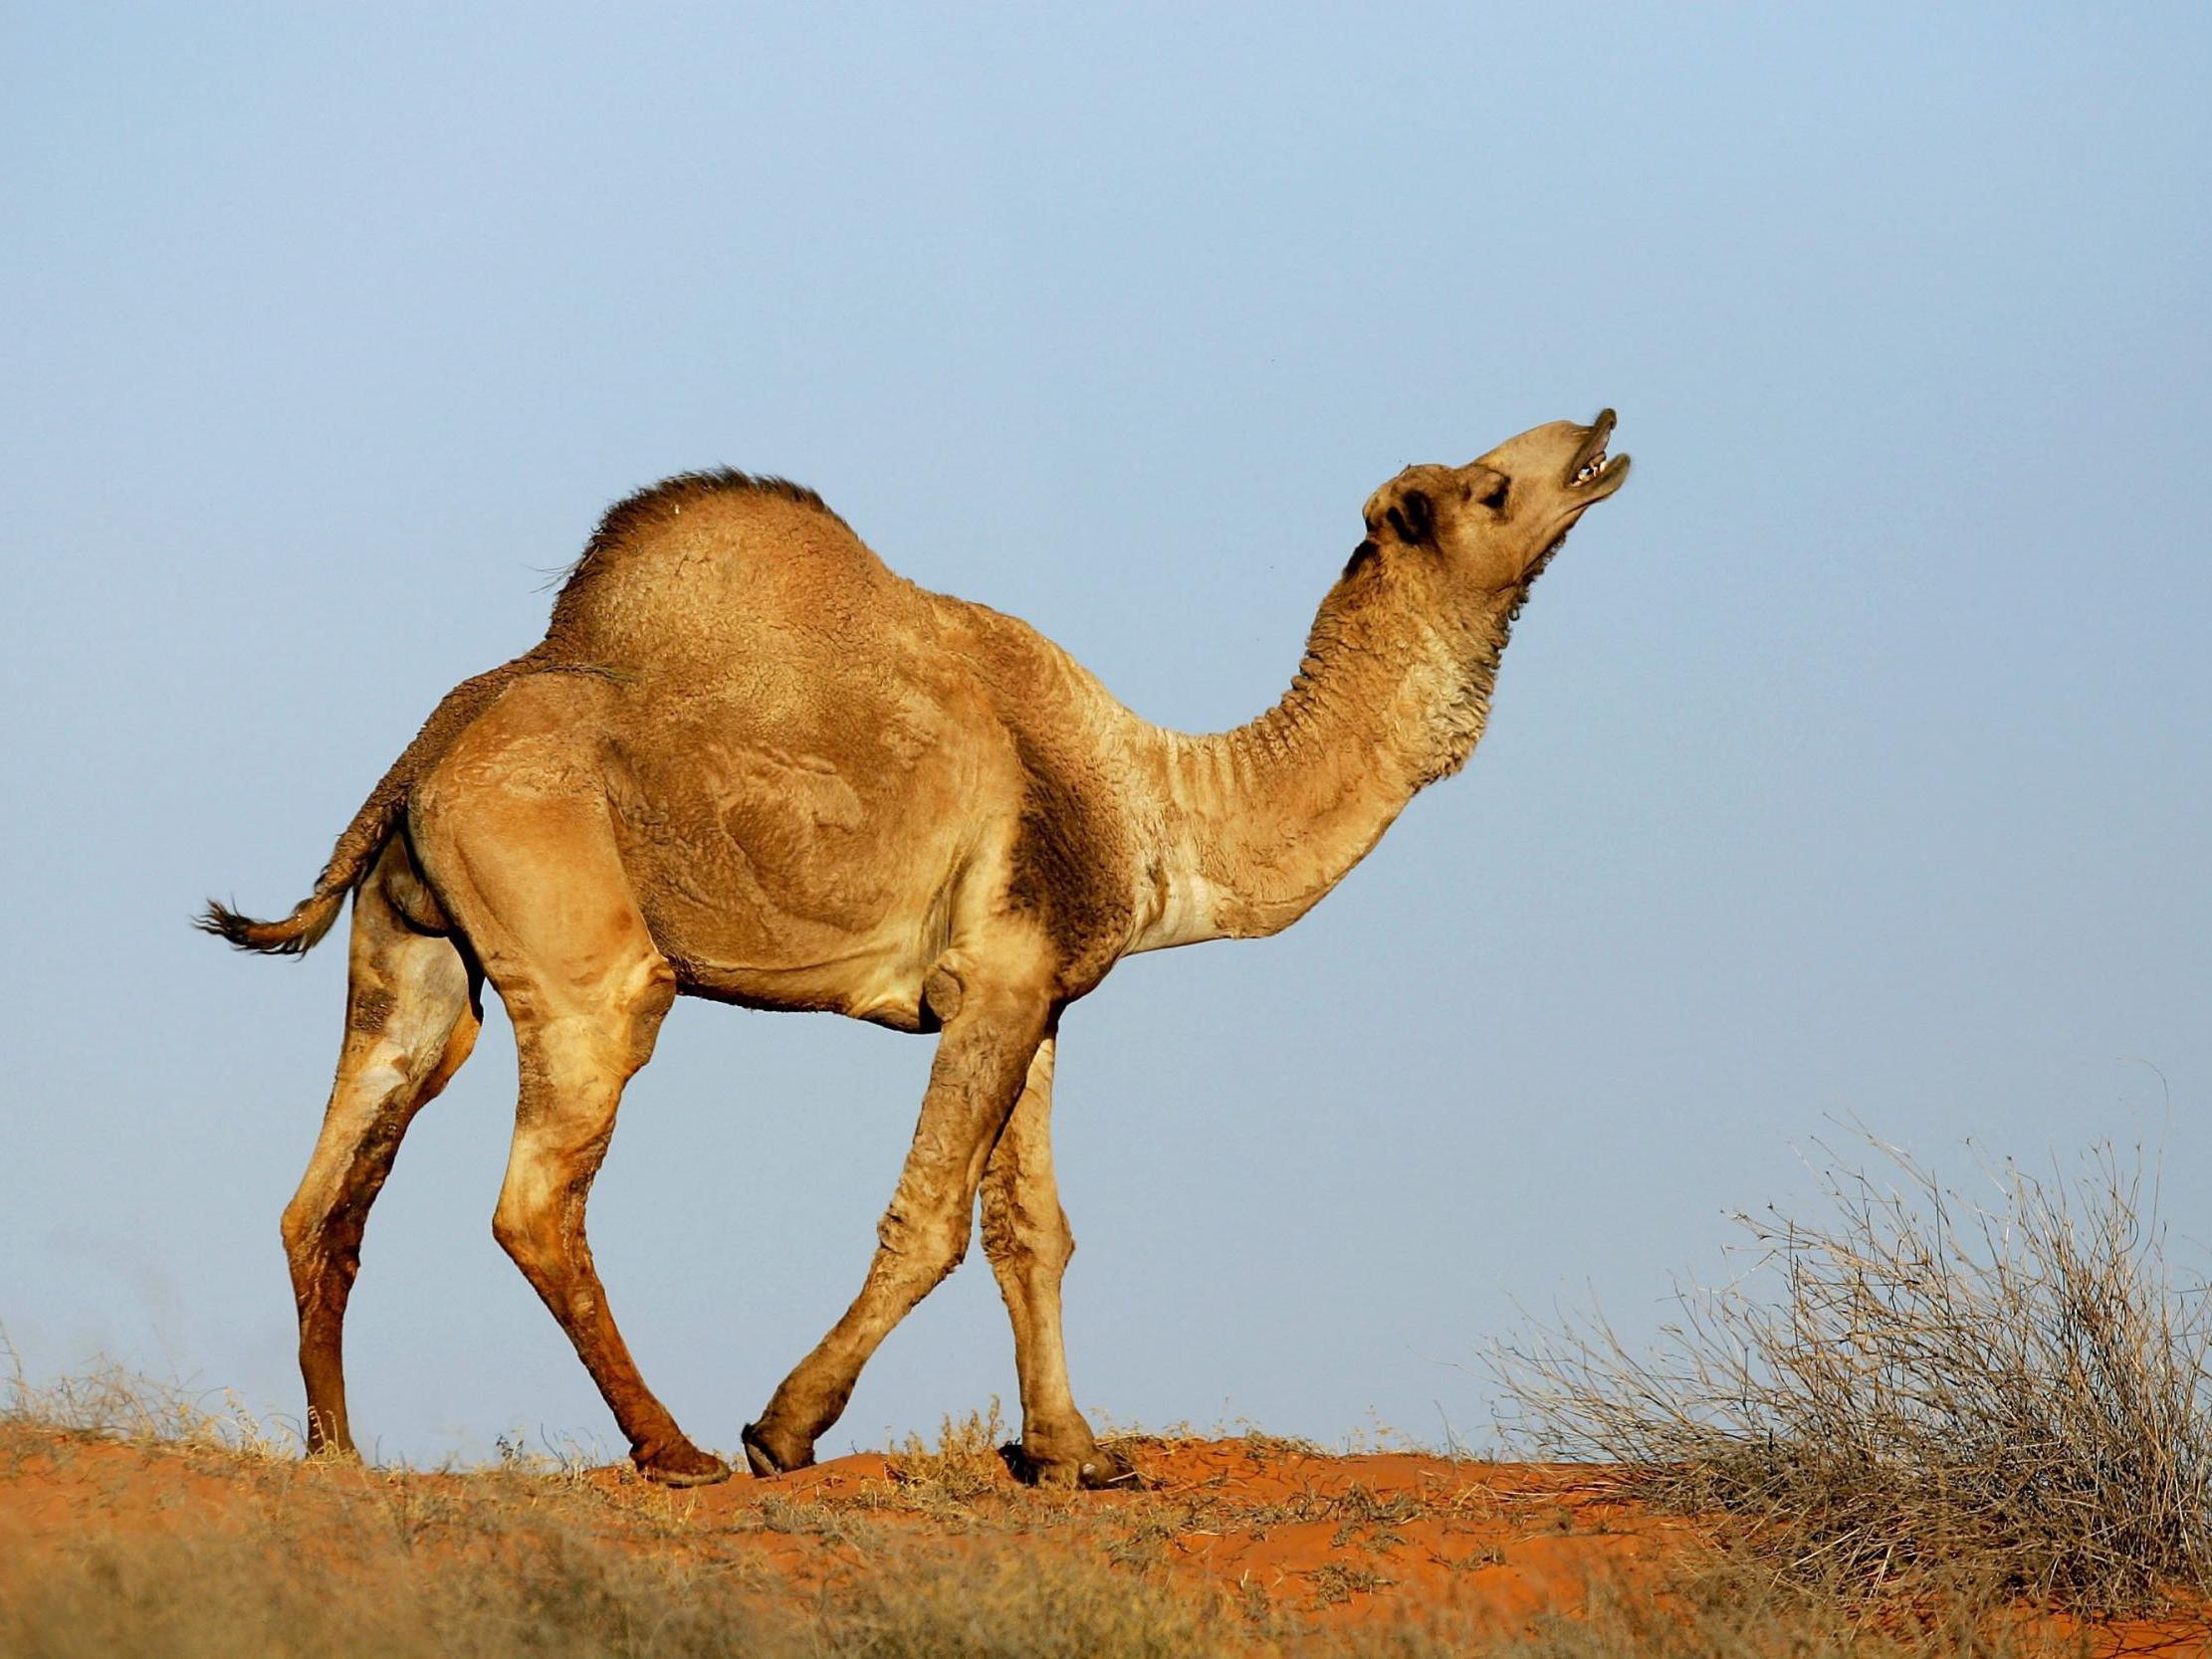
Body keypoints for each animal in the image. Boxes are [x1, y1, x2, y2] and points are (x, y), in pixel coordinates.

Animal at [198, 409, 1637, 1486]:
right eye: (1487, 485)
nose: (1599, 432)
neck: (1158, 799)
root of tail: (423, 753)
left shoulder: (1033, 990)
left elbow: (1032, 1229)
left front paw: (1074, 1453)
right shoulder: (997, 976)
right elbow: (930, 1218)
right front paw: (784, 1426)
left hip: (412, 955)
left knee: (325, 1189)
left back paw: (336, 1453)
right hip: (588, 963)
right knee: (535, 1197)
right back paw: (674, 1448)